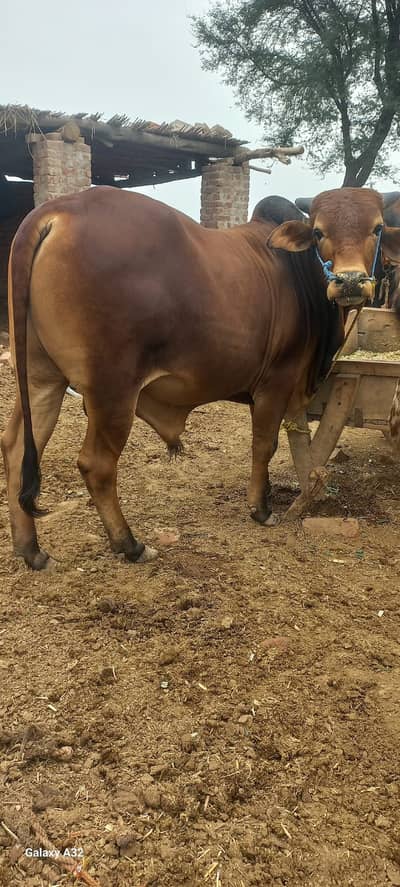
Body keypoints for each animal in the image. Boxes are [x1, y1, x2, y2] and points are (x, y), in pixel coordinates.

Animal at [3, 186, 400, 570]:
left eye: (377, 228)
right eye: (319, 232)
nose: (350, 282)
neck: (297, 273)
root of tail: (57, 209)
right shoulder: (277, 381)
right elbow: (264, 445)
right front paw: (261, 509)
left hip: (41, 378)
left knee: (16, 447)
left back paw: (31, 550)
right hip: (112, 390)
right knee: (96, 466)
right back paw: (129, 544)